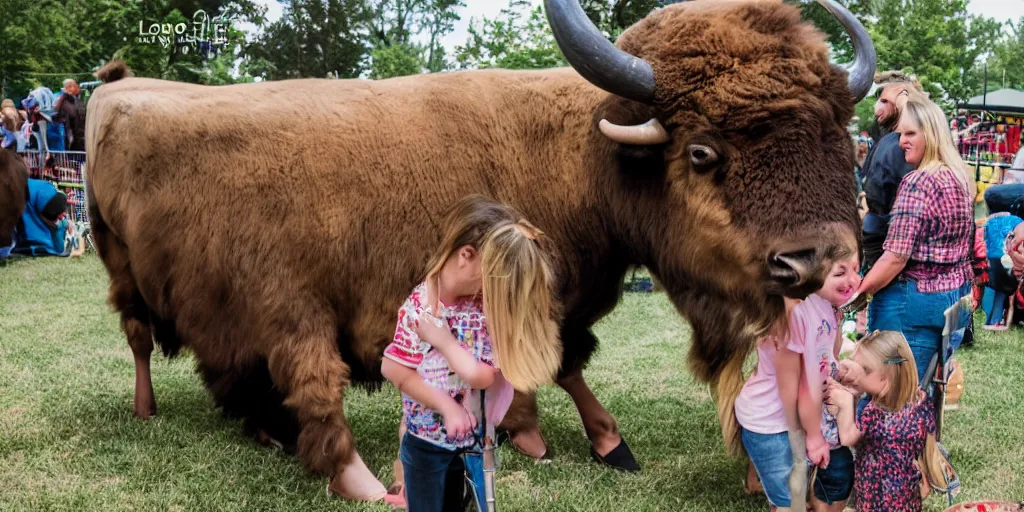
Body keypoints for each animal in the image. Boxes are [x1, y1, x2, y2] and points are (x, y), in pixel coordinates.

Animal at [77, 0, 872, 499]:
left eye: (838, 138)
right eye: (703, 151)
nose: (814, 262)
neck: (582, 147)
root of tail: (113, 93)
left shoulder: (563, 298)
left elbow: (566, 362)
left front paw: (604, 445)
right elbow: (539, 363)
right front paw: (537, 439)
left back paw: (266, 432)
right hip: (175, 280)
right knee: (184, 348)